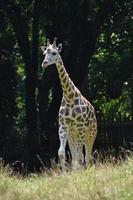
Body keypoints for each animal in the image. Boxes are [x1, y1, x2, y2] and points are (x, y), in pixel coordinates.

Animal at [41, 38, 97, 170]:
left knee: (87, 156)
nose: (44, 63)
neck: (69, 96)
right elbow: (61, 153)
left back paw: (87, 169)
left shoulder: (81, 127)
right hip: (73, 135)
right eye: (44, 53)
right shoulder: (63, 127)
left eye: (54, 53)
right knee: (79, 154)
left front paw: (77, 171)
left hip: (90, 134)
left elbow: (78, 156)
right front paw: (65, 172)